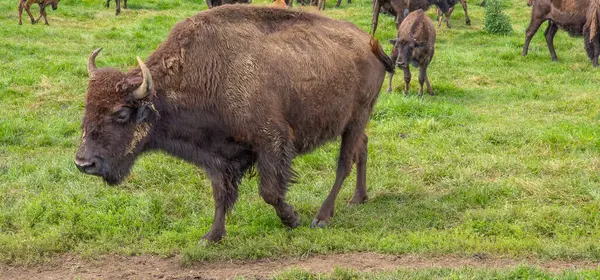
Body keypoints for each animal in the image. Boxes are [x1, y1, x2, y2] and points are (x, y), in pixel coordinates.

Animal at [74, 5, 394, 244]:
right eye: (86, 107)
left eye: (121, 113)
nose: (83, 163)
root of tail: (371, 43)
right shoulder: (217, 157)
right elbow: (221, 194)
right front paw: (211, 236)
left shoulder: (272, 140)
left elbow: (269, 191)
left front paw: (292, 219)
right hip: (355, 122)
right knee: (362, 148)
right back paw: (358, 199)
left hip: (356, 118)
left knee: (344, 163)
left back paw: (322, 217)